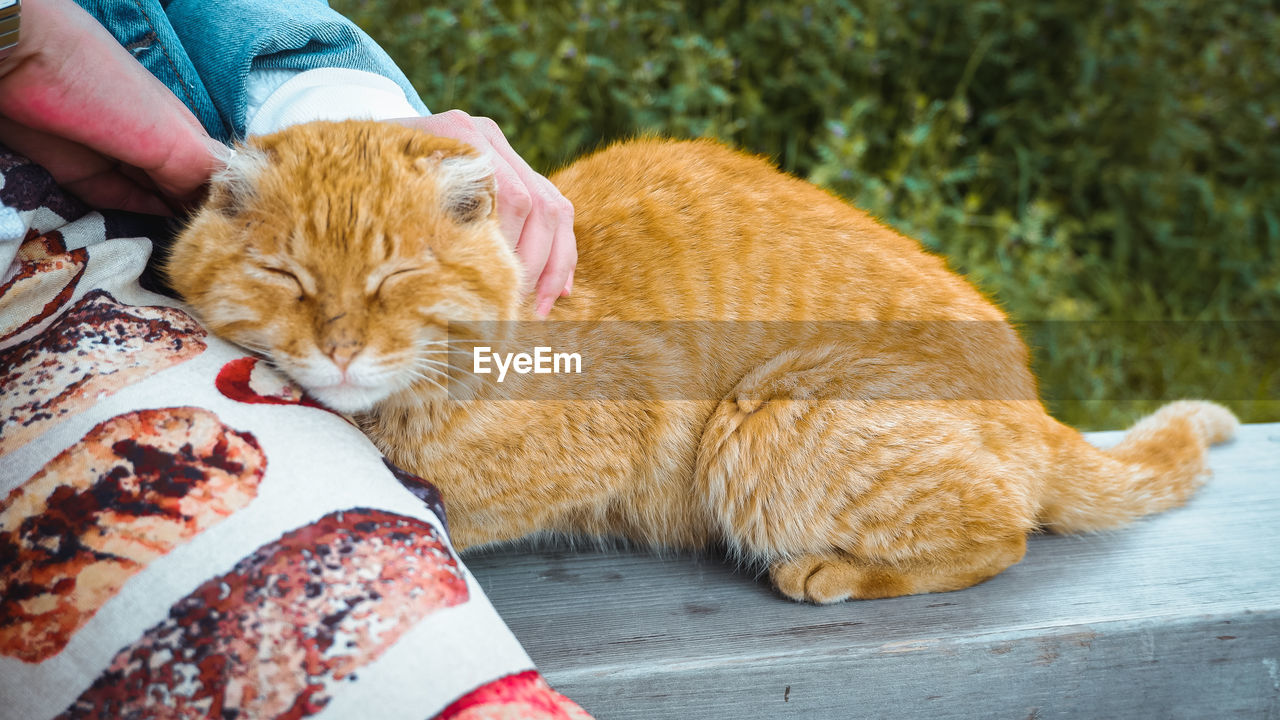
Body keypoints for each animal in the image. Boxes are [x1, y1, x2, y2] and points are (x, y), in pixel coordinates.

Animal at [165, 121, 1233, 599]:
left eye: (395, 278)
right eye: (287, 275)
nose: (340, 347)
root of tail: (1038, 408)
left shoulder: (606, 438)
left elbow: (452, 497)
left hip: (764, 422)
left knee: (1002, 534)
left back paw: (833, 574)